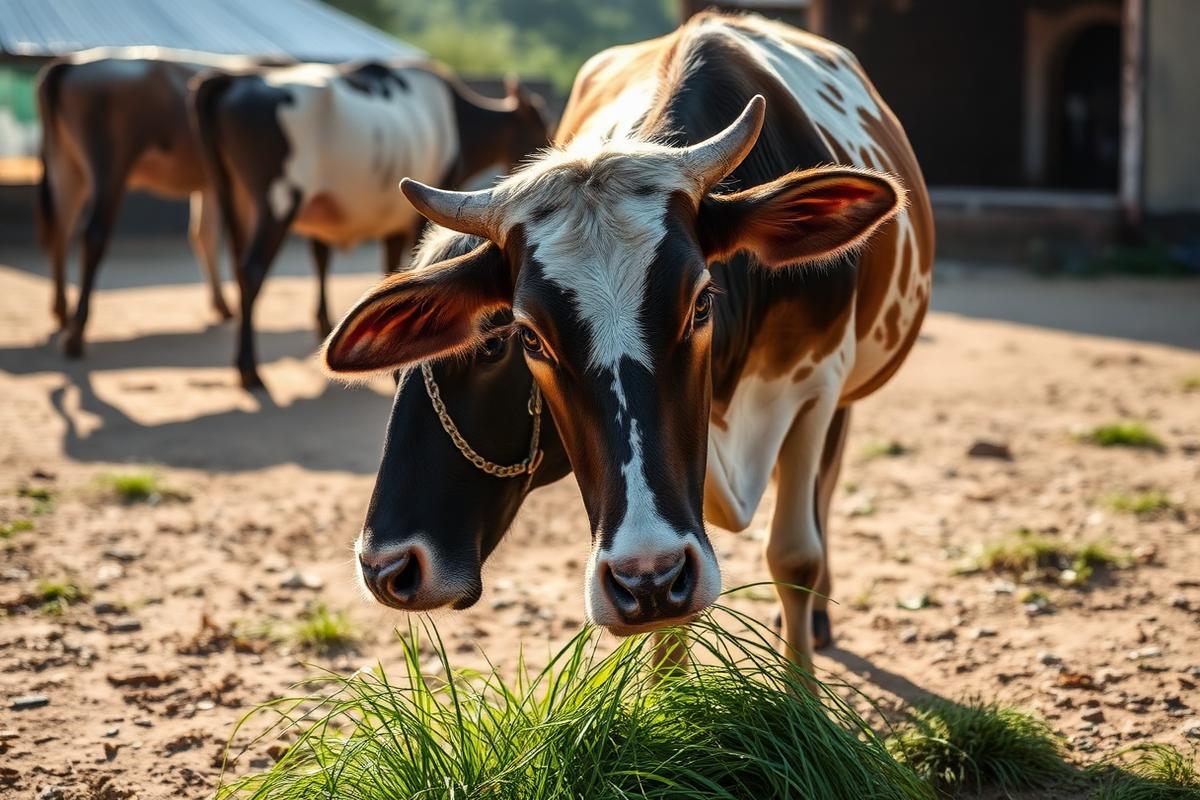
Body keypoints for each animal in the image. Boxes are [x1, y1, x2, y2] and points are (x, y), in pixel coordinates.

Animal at [35, 48, 269, 357]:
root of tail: (70, 63)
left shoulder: (210, 185)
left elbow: (203, 234)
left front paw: (222, 305)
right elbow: (235, 240)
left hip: (66, 163)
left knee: (61, 228)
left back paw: (62, 312)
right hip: (109, 163)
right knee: (92, 233)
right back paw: (76, 333)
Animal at [190, 61, 551, 390]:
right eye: (541, 130)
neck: (459, 118)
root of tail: (234, 78)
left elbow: (341, 260)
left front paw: (327, 325)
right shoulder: (421, 212)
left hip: (235, 197)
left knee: (238, 262)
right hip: (278, 199)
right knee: (252, 270)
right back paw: (249, 369)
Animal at [324, 12, 935, 674]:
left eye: (701, 303)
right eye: (531, 336)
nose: (388, 567)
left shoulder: (815, 387)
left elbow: (795, 554)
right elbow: (669, 628)